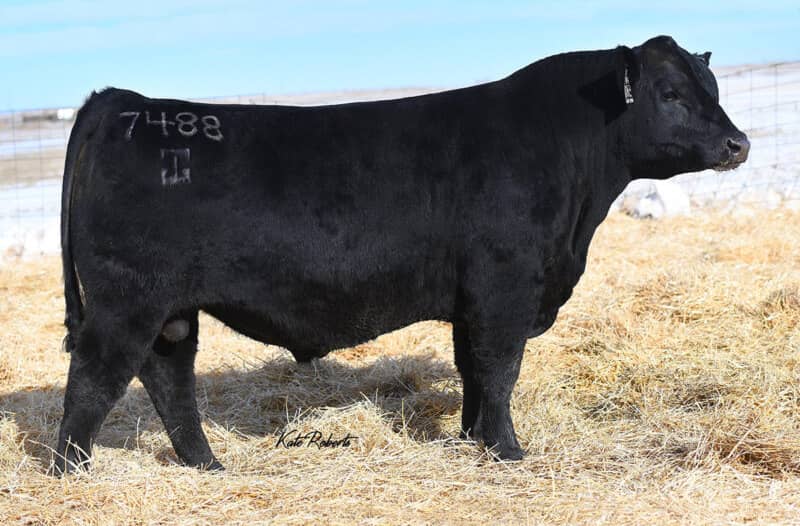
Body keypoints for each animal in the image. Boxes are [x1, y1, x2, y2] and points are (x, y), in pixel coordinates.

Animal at [55, 35, 749, 473]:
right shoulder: (505, 290)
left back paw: (206, 463)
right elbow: (501, 370)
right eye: (670, 93)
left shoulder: (473, 301)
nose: (738, 144)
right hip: (127, 301)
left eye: (711, 85)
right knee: (95, 375)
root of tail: (127, 102)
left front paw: (473, 439)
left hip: (172, 310)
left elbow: (474, 372)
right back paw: (71, 470)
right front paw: (509, 452)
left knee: (168, 377)